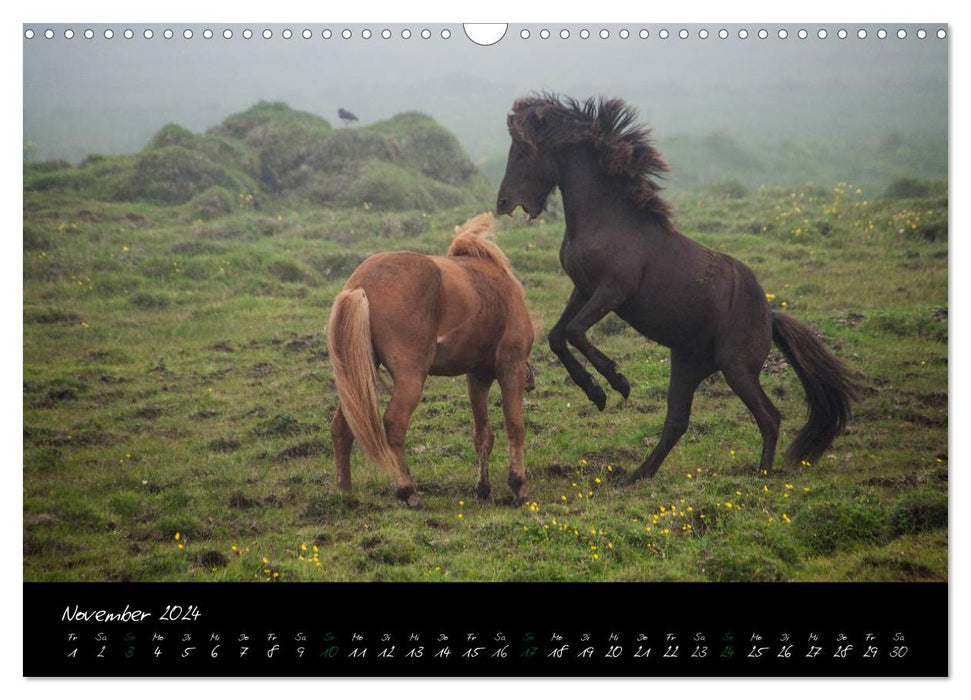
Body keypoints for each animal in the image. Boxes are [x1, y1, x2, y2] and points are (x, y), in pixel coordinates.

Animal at [330, 211, 536, 506]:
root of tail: (360, 286)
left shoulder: (478, 377)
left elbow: (483, 434)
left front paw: (483, 488)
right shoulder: (511, 367)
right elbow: (515, 426)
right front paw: (518, 485)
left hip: (356, 379)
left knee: (341, 426)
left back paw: (345, 491)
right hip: (411, 378)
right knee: (394, 423)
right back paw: (408, 491)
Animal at [494, 94, 860, 482]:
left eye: (523, 150)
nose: (502, 203)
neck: (605, 219)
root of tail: (770, 315)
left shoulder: (614, 289)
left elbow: (575, 331)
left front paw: (617, 382)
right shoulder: (583, 288)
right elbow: (557, 335)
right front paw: (596, 393)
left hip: (736, 366)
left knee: (769, 416)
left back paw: (761, 476)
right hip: (687, 364)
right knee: (677, 422)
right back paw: (636, 475)